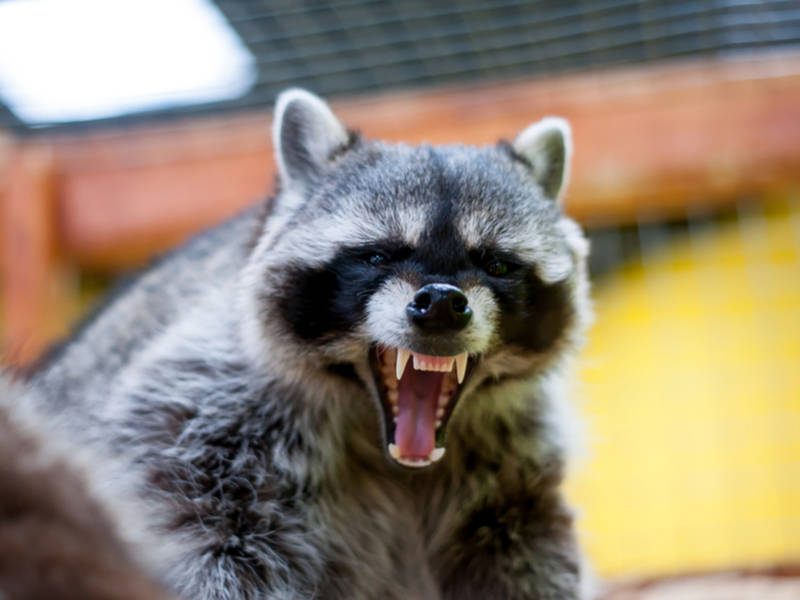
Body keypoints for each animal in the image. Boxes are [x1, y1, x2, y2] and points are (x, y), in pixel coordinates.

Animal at [30, 89, 592, 600]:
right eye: (378, 256)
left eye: (496, 265)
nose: (440, 303)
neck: (389, 448)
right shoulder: (202, 420)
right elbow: (213, 549)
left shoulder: (514, 468)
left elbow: (528, 555)